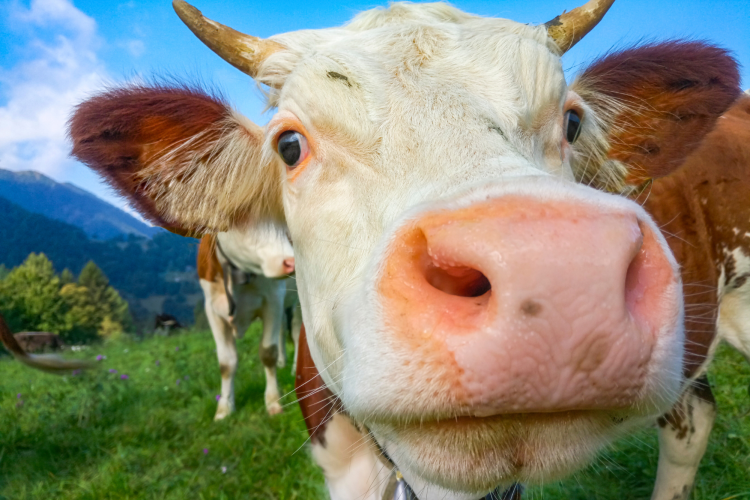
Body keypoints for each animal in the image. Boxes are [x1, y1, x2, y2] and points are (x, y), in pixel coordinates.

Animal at [198, 224, 298, 418]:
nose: (290, 262)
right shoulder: (212, 309)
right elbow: (226, 362)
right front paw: (224, 408)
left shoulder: (273, 300)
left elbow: (268, 353)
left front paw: (273, 402)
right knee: (283, 328)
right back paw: (283, 362)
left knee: (299, 333)